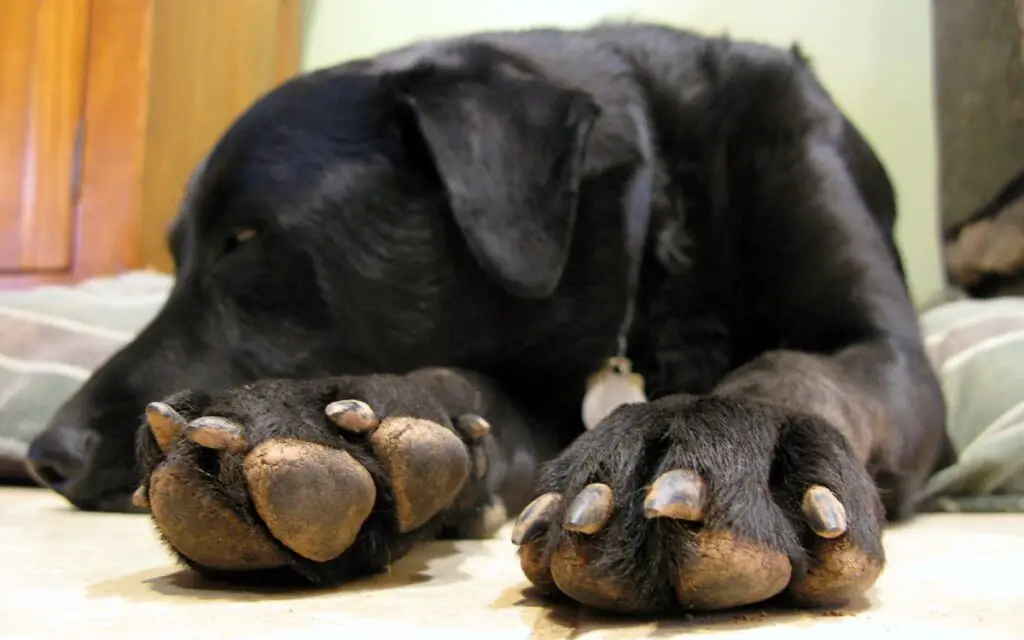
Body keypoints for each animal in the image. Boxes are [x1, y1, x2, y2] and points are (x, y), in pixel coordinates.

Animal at [25, 23, 950, 614]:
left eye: (245, 239)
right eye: (182, 249)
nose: (46, 455)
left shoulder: (886, 353)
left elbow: (796, 368)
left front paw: (714, 435)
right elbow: (460, 388)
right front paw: (325, 418)